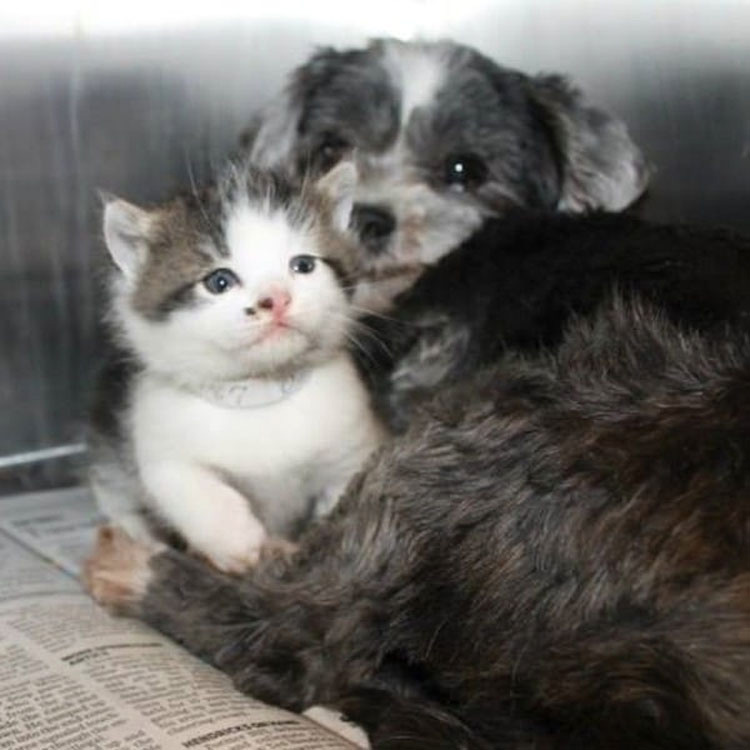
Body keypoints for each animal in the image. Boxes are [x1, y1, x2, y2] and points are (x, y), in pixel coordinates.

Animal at [89, 164, 382, 572]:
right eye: (219, 281)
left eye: (303, 265)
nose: (276, 299)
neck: (260, 391)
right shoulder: (158, 439)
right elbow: (188, 486)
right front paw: (238, 542)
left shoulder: (353, 443)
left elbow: (348, 488)